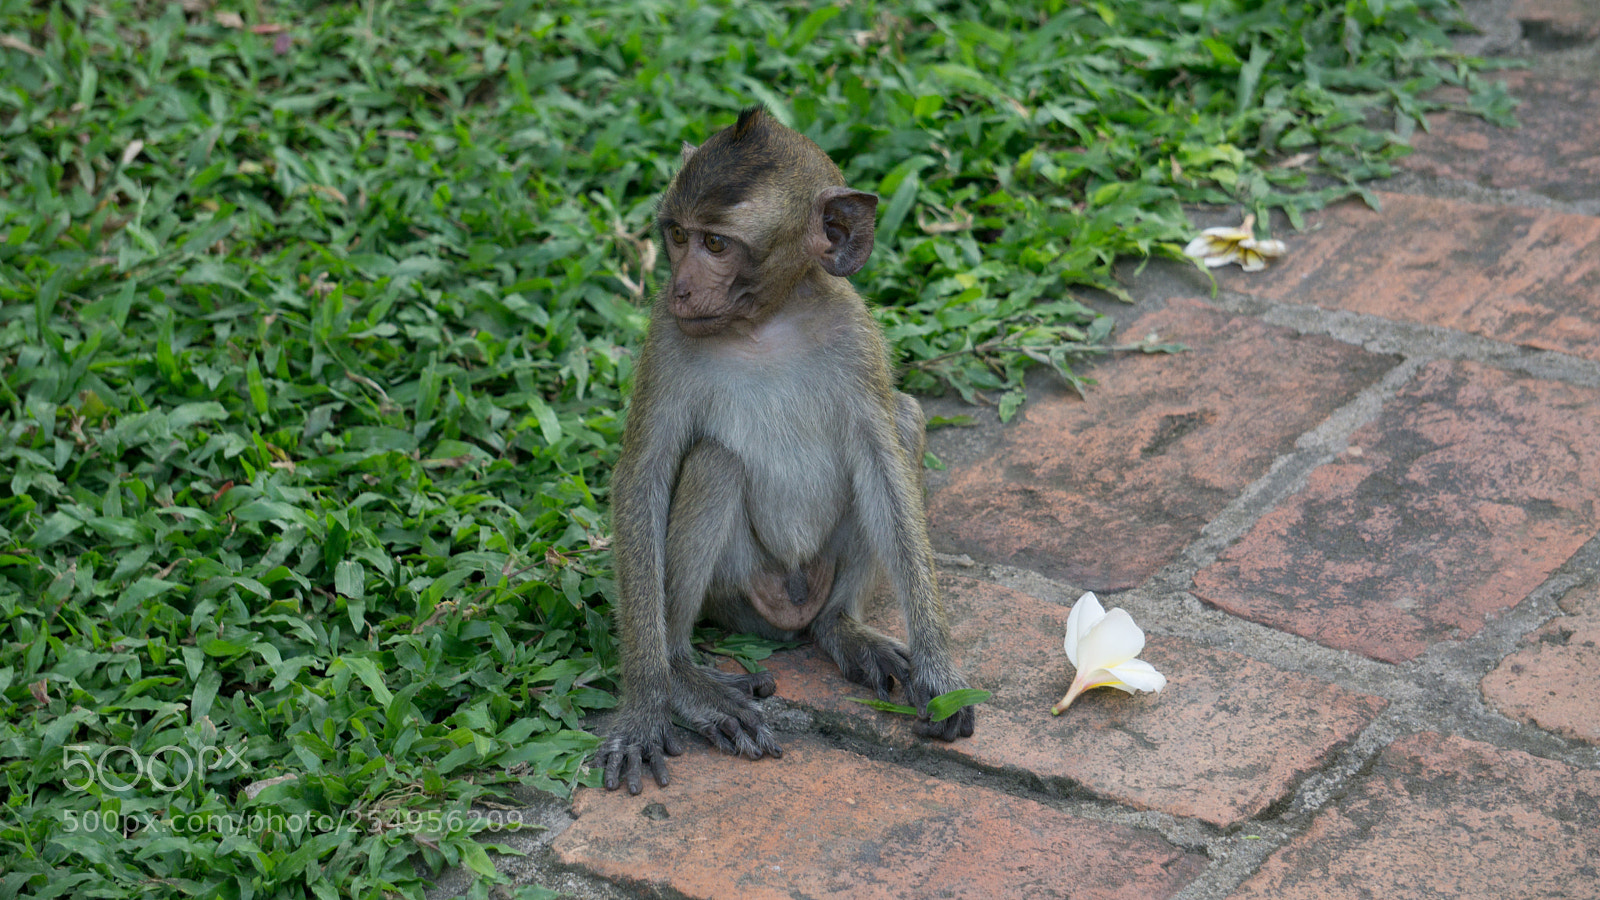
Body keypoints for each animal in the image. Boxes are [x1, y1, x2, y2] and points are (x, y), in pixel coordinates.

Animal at [596, 106, 976, 795]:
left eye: (717, 245)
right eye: (677, 236)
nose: (681, 288)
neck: (764, 322)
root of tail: (789, 607)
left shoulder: (854, 332)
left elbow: (882, 459)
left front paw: (940, 670)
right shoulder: (665, 336)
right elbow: (642, 478)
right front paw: (644, 705)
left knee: (903, 421)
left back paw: (841, 627)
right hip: (738, 592)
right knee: (714, 463)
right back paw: (683, 673)